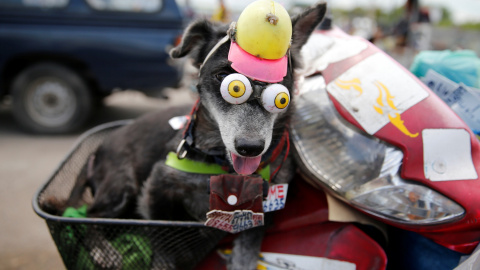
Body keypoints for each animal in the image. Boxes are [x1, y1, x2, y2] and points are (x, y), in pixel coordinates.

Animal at [48, 2, 326, 270]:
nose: (251, 147)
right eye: (231, 84)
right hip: (120, 187)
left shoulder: (261, 211)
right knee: (88, 216)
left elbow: (247, 251)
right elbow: (163, 244)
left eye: (281, 97)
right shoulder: (156, 190)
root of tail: (99, 149)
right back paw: (103, 250)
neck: (223, 166)